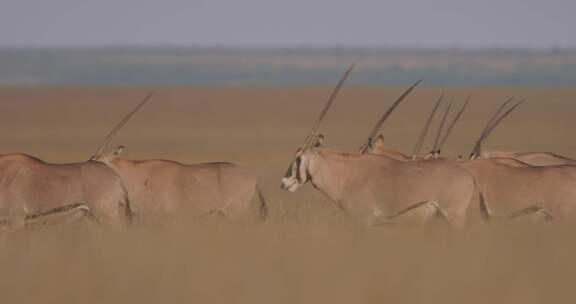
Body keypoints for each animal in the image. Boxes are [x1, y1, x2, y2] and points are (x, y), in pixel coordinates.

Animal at [282, 67, 476, 228]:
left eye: (298, 158)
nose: (283, 183)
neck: (347, 174)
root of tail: (469, 177)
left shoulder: (363, 221)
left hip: (454, 217)